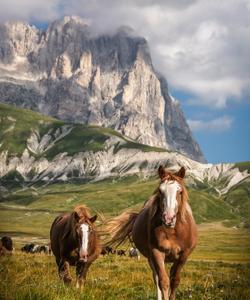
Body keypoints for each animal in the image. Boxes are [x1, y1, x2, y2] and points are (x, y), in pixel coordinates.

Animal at [105, 166, 197, 300]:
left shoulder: (183, 255)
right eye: (160, 191)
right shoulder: (156, 252)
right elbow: (163, 282)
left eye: (179, 191)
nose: (168, 218)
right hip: (150, 258)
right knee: (157, 278)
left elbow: (175, 281)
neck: (173, 232)